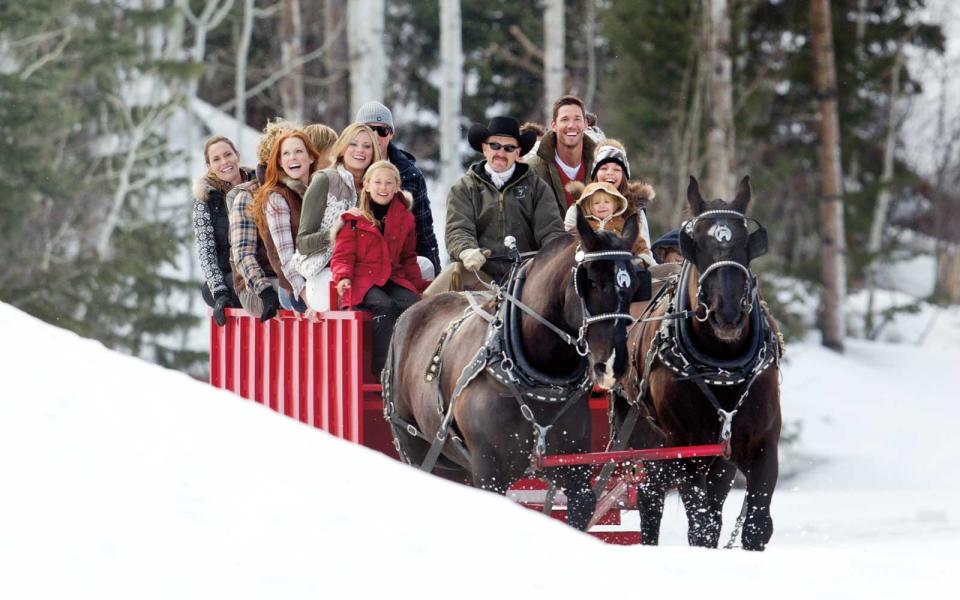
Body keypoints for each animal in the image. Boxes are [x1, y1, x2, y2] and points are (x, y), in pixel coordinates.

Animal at [382, 211, 644, 528]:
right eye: (592, 281)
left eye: (633, 286)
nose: (614, 364)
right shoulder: (489, 473)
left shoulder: (574, 474)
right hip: (413, 446)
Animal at [616, 176, 780, 552]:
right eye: (698, 247)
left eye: (745, 246)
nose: (728, 314)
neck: (722, 368)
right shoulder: (684, 450)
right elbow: (701, 528)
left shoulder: (763, 444)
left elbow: (756, 526)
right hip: (643, 438)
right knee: (650, 501)